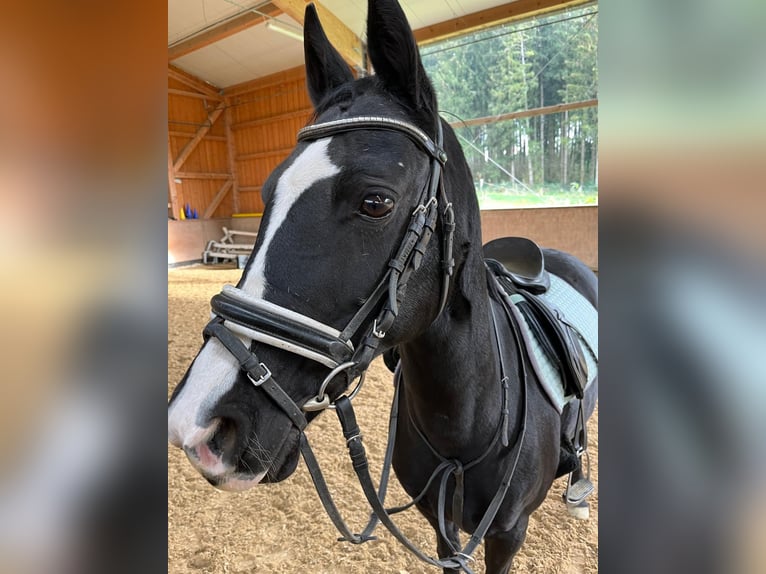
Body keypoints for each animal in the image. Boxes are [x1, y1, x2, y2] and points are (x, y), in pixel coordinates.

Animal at [168, 2, 600, 572]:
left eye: (376, 202)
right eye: (267, 192)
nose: (198, 423)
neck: (468, 418)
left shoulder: (507, 536)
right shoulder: (443, 531)